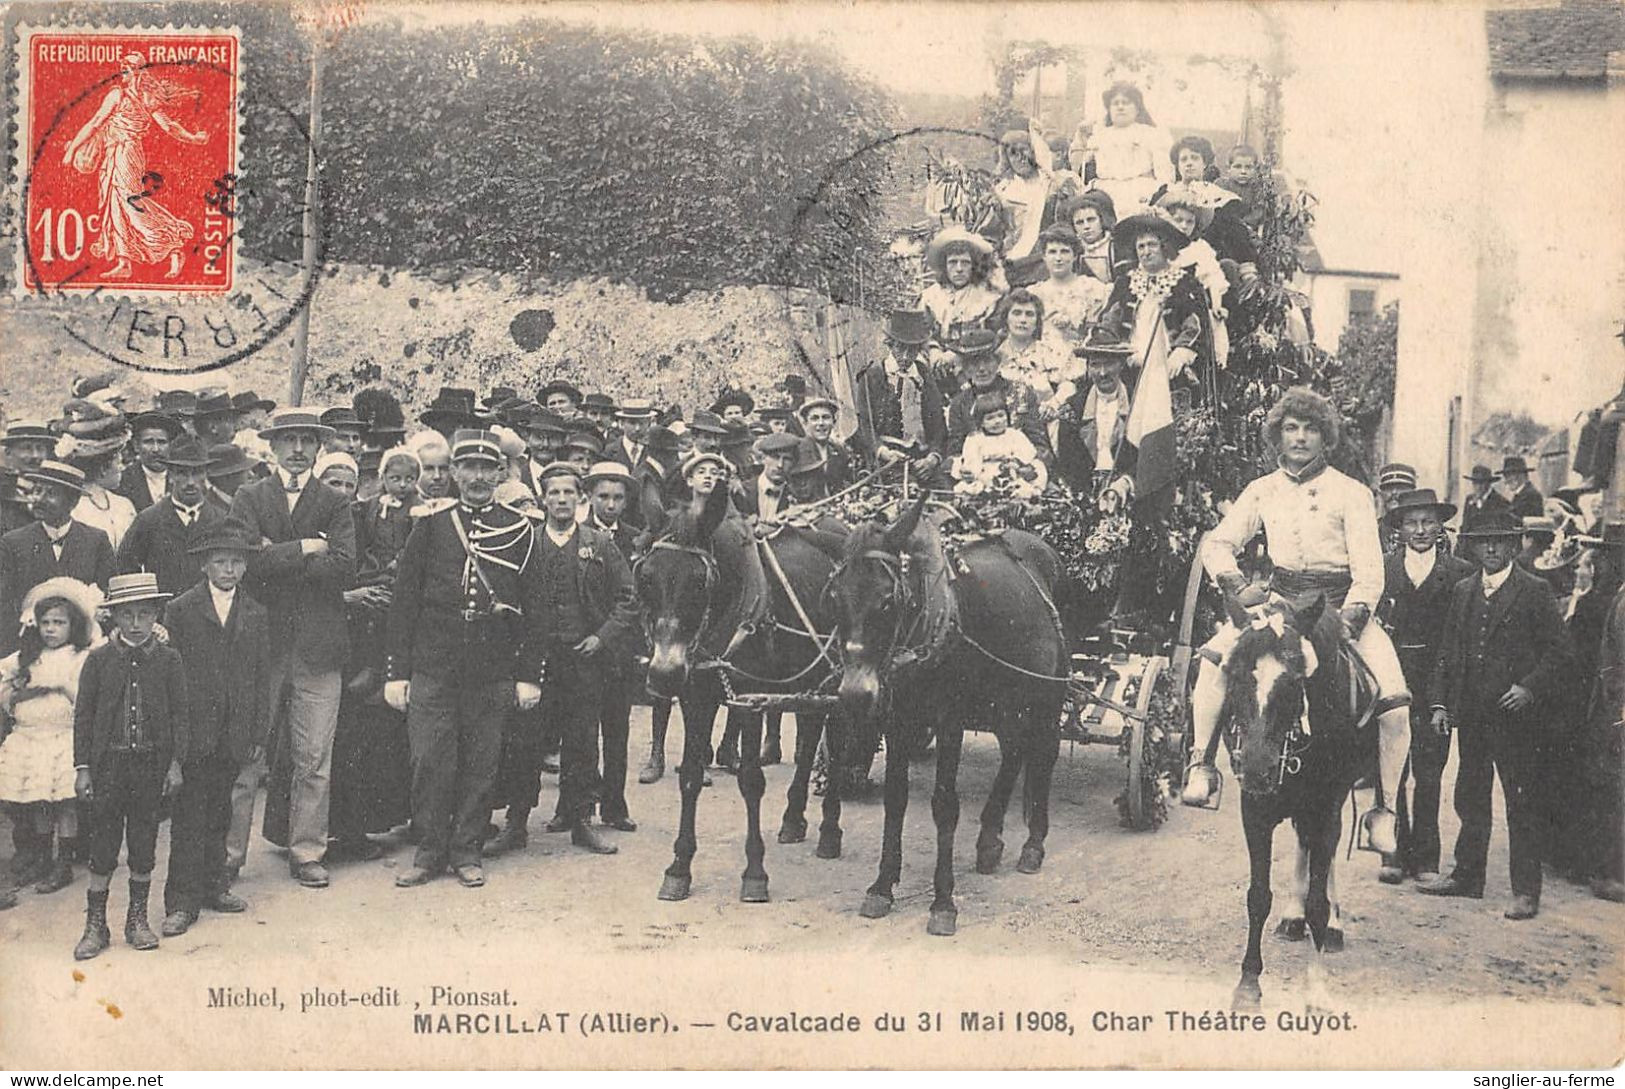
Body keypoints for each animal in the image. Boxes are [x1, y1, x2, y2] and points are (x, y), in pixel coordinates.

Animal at [832, 497, 1072, 936]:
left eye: (887, 600)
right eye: (835, 598)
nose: (857, 694)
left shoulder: (949, 724)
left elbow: (944, 805)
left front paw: (943, 902)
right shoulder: (898, 721)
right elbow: (895, 800)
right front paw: (882, 886)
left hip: (1046, 695)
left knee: (1043, 754)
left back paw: (1033, 845)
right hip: (1004, 702)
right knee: (1014, 752)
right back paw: (990, 840)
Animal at [1222, 591, 1378, 1014]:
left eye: (1294, 681)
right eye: (1235, 674)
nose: (1256, 768)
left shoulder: (1326, 811)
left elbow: (1318, 905)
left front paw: (1316, 989)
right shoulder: (1254, 812)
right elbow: (1258, 897)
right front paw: (1248, 984)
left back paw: (1332, 927)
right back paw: (1292, 918)